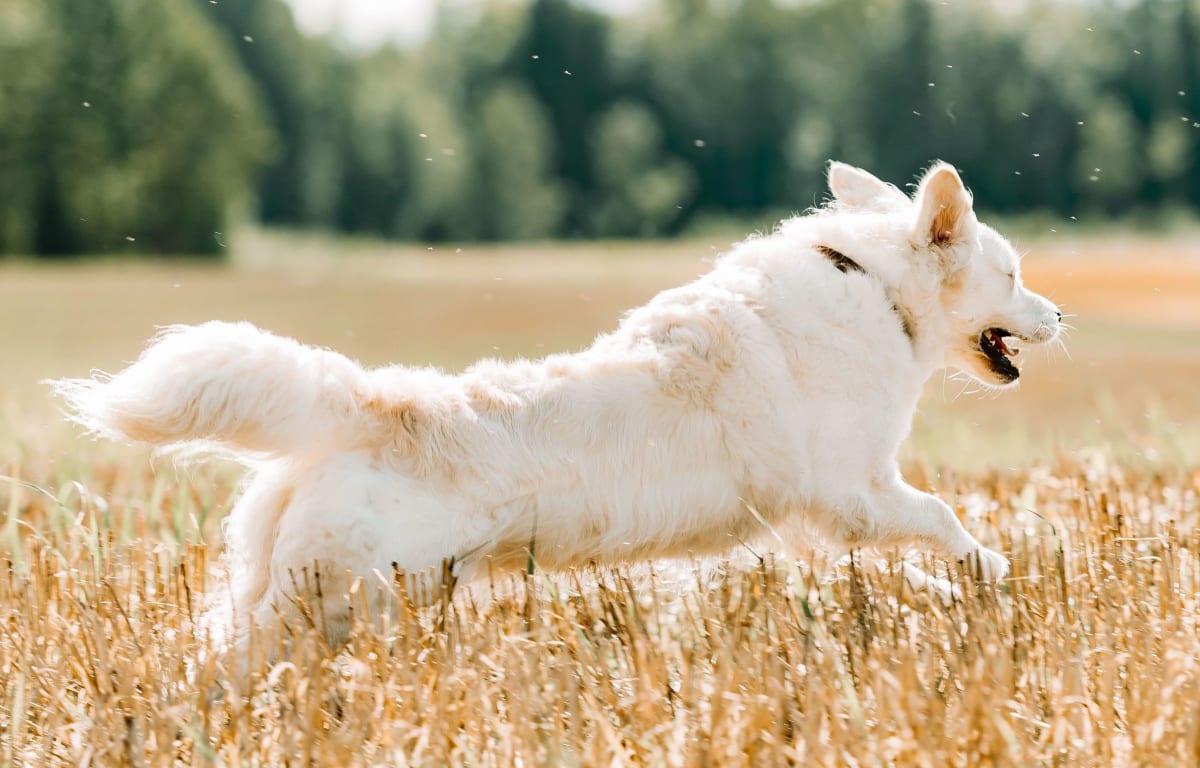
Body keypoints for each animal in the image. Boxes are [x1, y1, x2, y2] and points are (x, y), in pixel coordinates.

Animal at [56, 163, 1060, 652]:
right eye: (1012, 274)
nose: (1059, 316)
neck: (878, 288)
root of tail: (373, 406)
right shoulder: (853, 490)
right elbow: (941, 519)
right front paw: (993, 571)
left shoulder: (811, 516)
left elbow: (901, 563)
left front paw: (951, 595)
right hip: (337, 609)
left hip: (301, 598)